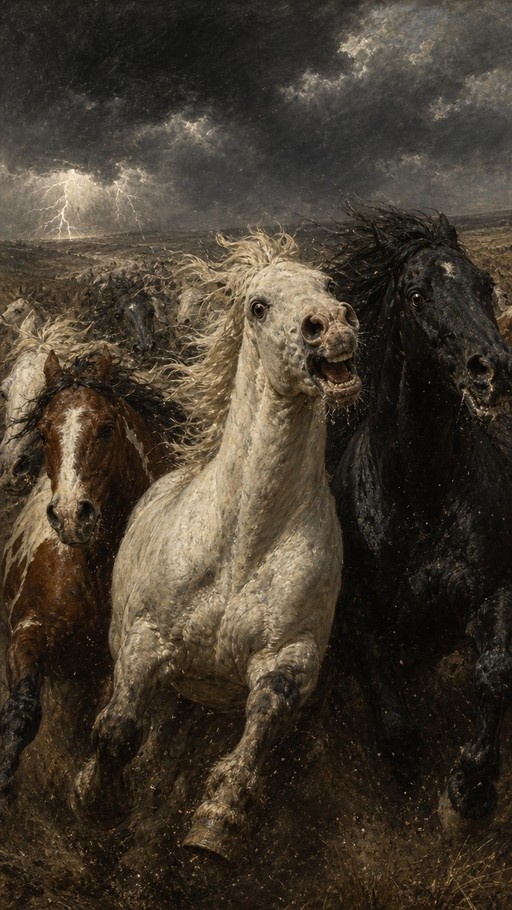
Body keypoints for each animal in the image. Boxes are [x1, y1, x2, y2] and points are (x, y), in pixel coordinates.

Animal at [0, 347, 181, 792]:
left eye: (106, 429)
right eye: (44, 432)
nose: (70, 515)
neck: (96, 577)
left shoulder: (112, 670)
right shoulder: (27, 630)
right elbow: (23, 709)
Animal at [72, 230, 361, 860]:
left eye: (328, 286)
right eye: (258, 306)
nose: (331, 324)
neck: (244, 543)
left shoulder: (291, 656)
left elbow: (261, 722)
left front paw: (215, 823)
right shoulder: (147, 642)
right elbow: (117, 729)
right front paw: (95, 799)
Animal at [326, 204, 512, 823]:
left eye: (485, 285)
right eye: (414, 295)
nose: (492, 370)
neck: (422, 500)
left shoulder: (493, 591)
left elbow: (495, 672)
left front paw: (470, 784)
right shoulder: (360, 612)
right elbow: (391, 710)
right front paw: (411, 770)